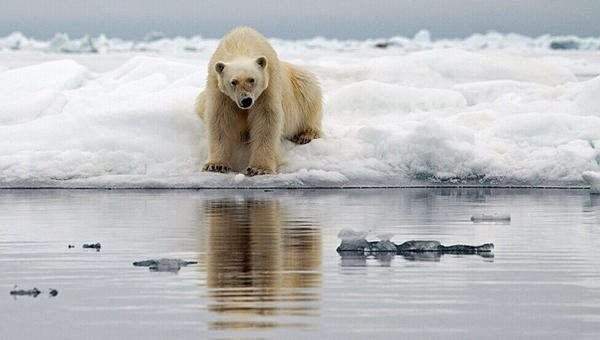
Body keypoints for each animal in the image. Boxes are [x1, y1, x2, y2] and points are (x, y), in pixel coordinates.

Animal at [196, 26, 324, 175]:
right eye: (233, 82)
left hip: (300, 84)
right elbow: (221, 119)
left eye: (252, 79)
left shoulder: (268, 86)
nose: (246, 100)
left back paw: (305, 135)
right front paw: (216, 165)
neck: (241, 45)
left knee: (308, 91)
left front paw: (258, 168)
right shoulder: (219, 90)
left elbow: (266, 119)